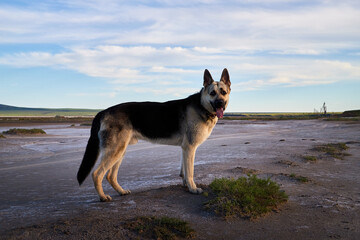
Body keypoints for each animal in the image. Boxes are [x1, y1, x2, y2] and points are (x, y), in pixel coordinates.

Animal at [77, 68, 232, 202]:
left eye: (223, 92)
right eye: (212, 93)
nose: (220, 104)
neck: (201, 105)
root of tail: (103, 111)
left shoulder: (185, 149)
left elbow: (184, 171)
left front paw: (186, 185)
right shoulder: (190, 148)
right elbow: (190, 172)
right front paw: (193, 188)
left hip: (120, 150)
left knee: (110, 175)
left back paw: (121, 191)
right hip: (115, 151)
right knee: (97, 174)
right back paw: (103, 197)